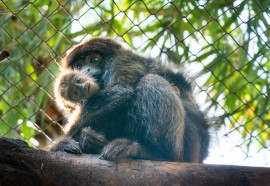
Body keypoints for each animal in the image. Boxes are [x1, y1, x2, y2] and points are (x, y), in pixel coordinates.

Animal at [51, 37, 210, 163]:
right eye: (78, 66)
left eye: (94, 59)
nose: (86, 70)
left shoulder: (122, 59)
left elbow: (122, 90)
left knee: (152, 80)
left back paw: (159, 154)